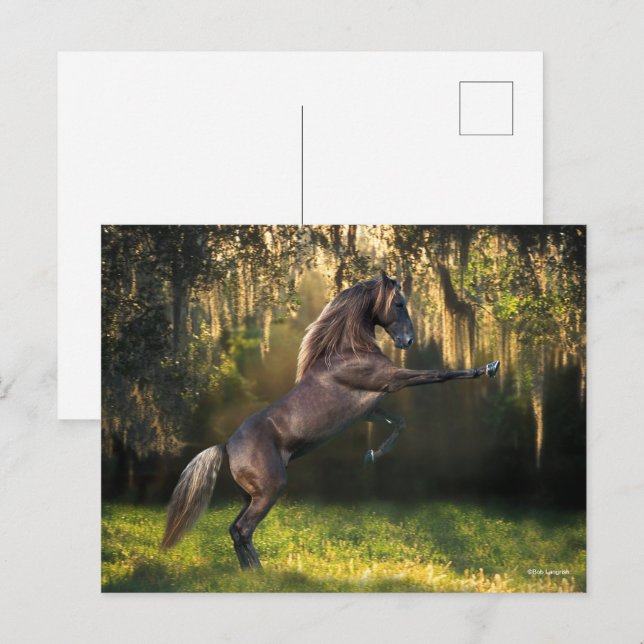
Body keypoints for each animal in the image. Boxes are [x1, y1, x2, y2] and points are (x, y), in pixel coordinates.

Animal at [161, 270, 500, 569]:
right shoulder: (392, 380)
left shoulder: (370, 409)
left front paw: (370, 456)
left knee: (235, 530)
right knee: (243, 530)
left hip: (250, 495)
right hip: (269, 490)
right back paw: (259, 572)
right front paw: (488, 368)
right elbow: (440, 374)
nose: (408, 341)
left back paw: (250, 573)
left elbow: (399, 423)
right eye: (399, 304)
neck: (349, 351)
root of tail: (226, 446)